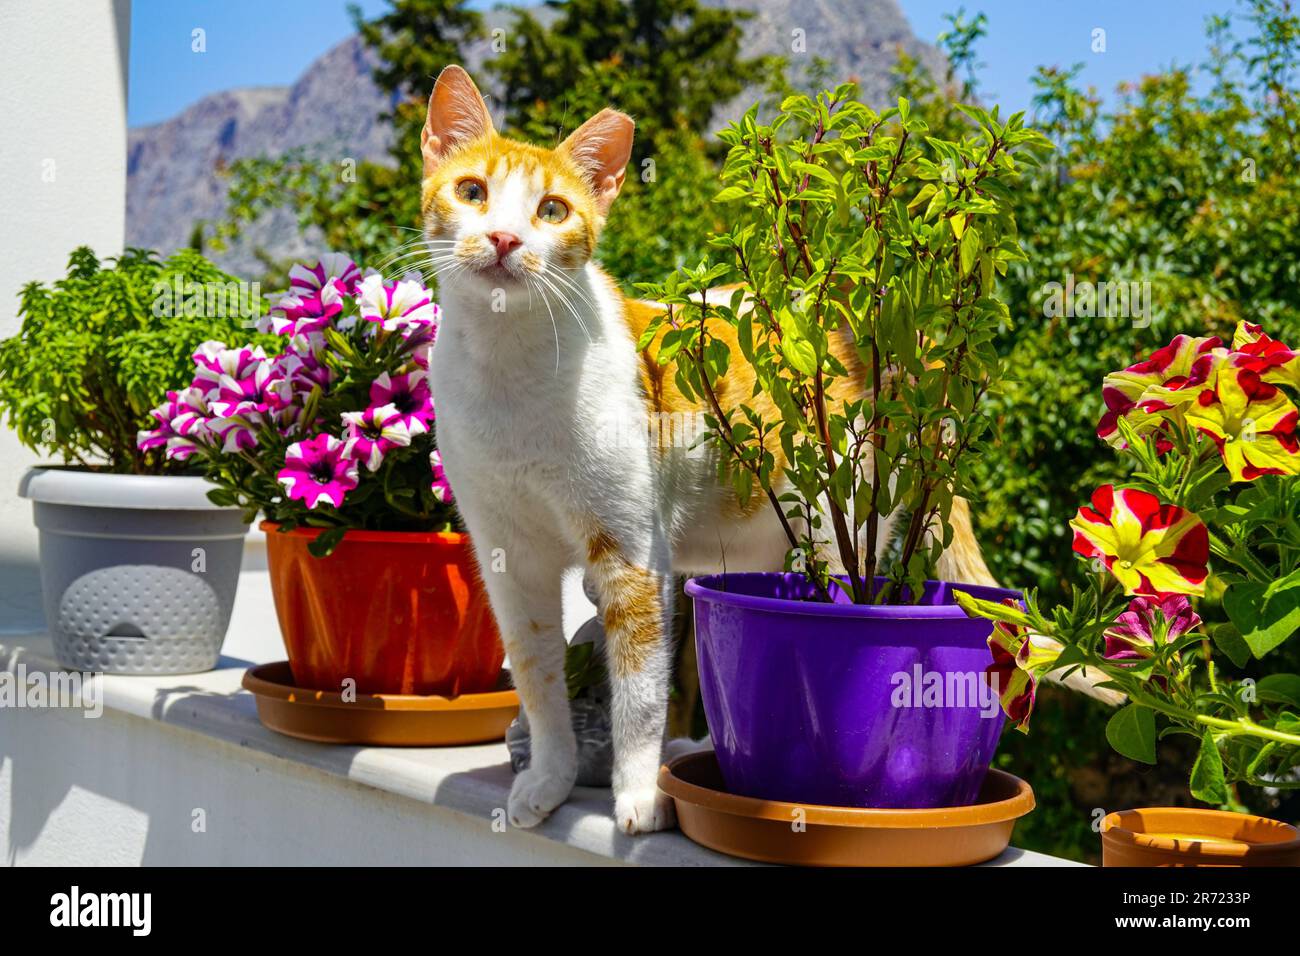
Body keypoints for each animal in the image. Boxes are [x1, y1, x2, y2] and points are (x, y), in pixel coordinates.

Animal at [421, 63, 998, 832]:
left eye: (551, 210)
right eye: (472, 192)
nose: (508, 239)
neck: (507, 371)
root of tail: (865, 343)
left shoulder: (632, 555)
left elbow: (639, 693)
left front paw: (638, 795)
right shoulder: (509, 561)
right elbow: (539, 683)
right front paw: (549, 779)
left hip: (841, 531)